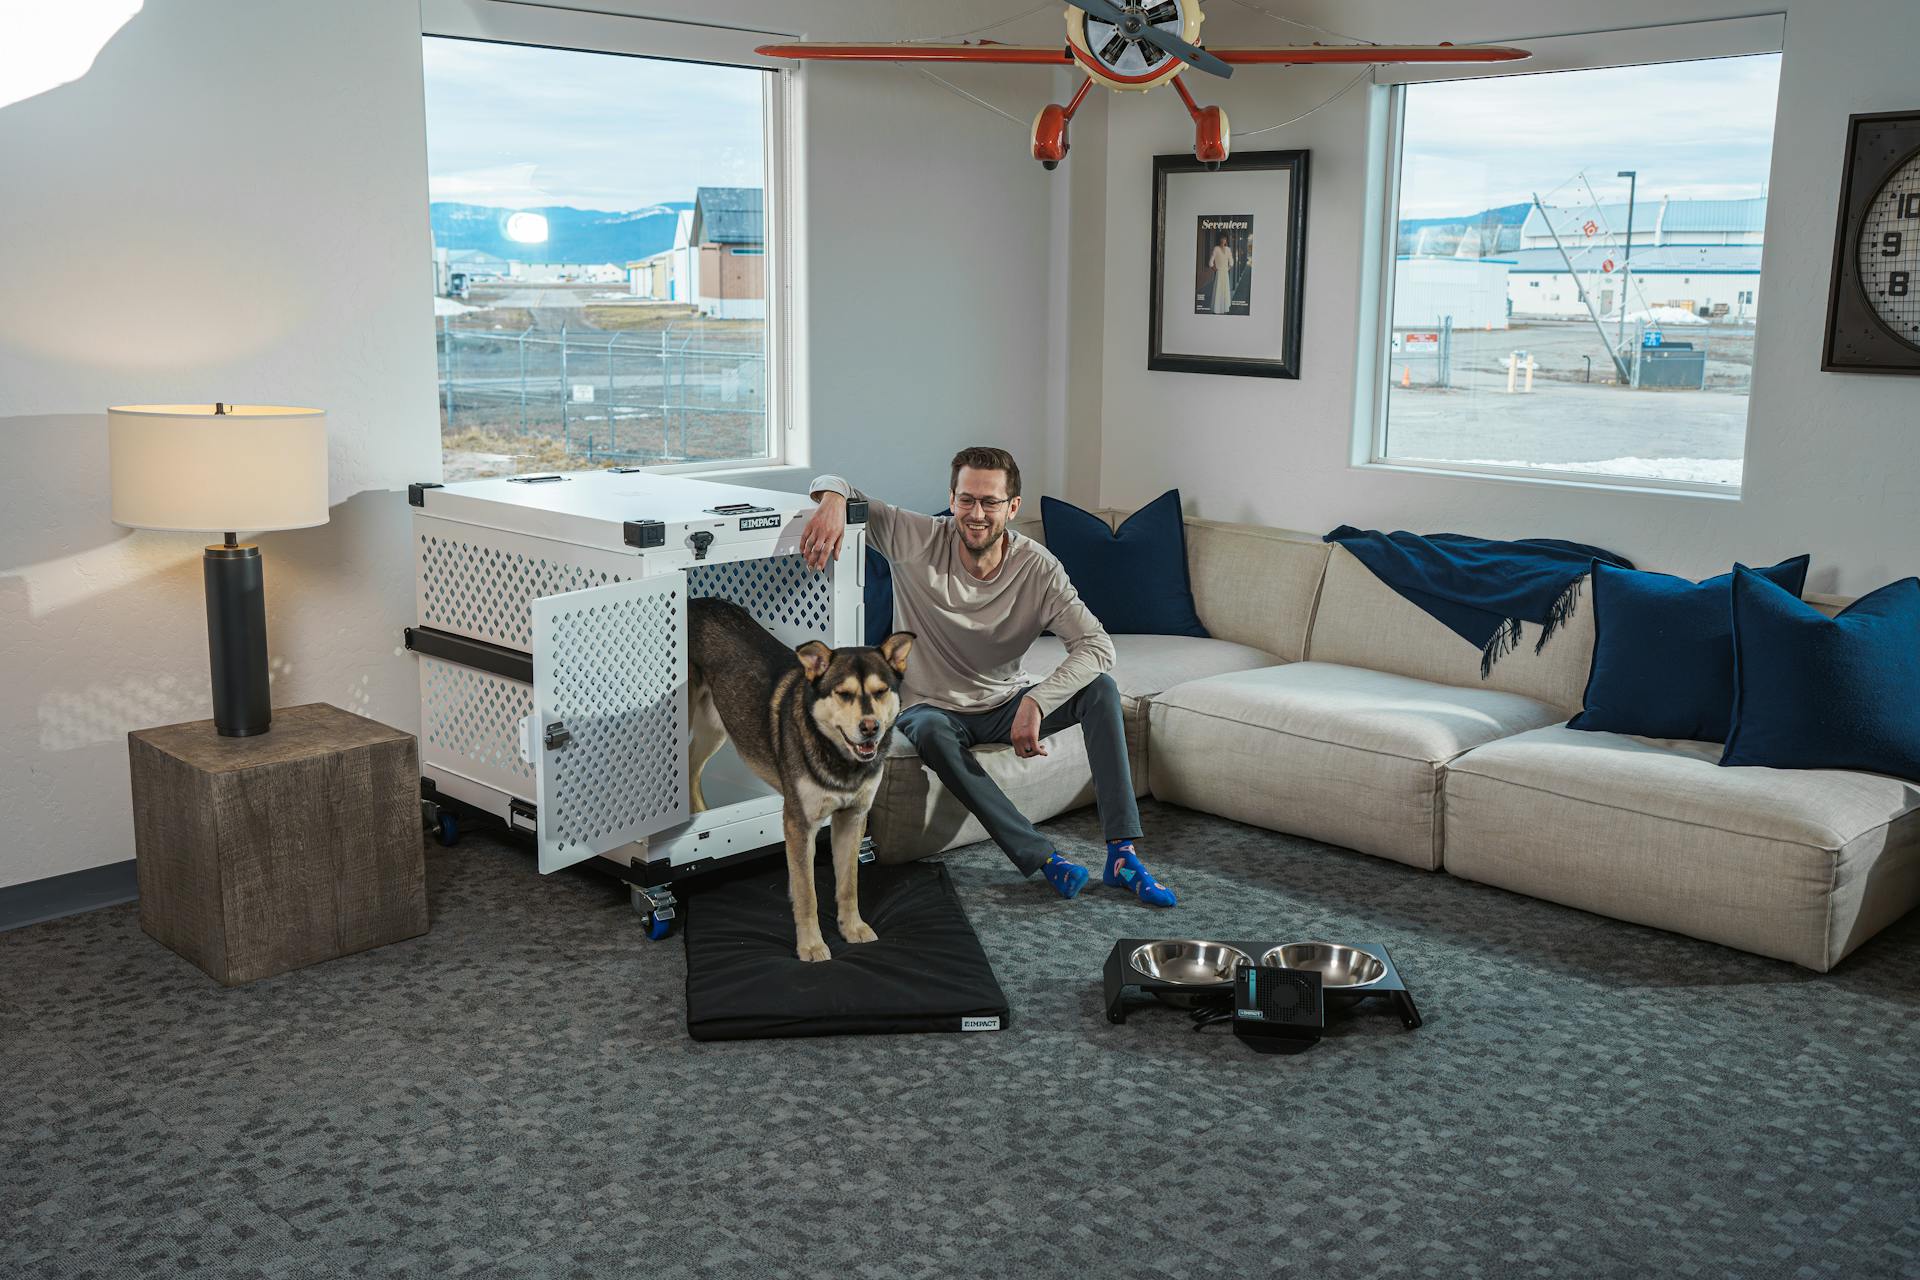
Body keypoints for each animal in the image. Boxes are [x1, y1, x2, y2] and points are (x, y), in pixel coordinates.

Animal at [691, 598, 913, 959]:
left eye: (881, 691)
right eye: (843, 694)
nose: (870, 727)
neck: (840, 759)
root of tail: (696, 601)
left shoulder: (853, 818)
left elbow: (848, 884)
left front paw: (852, 929)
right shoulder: (799, 823)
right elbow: (808, 895)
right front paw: (811, 946)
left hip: (715, 727)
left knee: (692, 769)